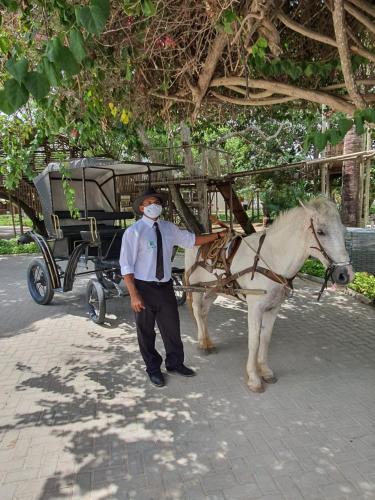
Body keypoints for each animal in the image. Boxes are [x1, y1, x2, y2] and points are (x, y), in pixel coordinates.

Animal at [187, 197, 354, 392]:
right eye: (320, 232)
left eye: (344, 231)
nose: (345, 274)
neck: (272, 259)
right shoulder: (255, 308)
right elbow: (254, 341)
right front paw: (253, 378)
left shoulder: (274, 308)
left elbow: (265, 339)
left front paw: (265, 371)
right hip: (196, 288)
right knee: (197, 312)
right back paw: (202, 343)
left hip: (211, 290)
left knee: (204, 313)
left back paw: (208, 341)